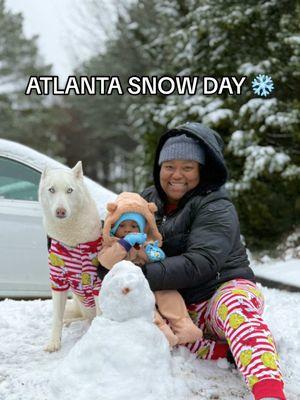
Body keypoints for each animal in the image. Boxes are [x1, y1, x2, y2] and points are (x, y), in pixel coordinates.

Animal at [39, 161, 102, 352]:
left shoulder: (97, 281)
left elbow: (101, 313)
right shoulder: (58, 281)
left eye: (69, 190)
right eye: (52, 190)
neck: (72, 241)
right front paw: (54, 342)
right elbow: (56, 318)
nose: (60, 211)